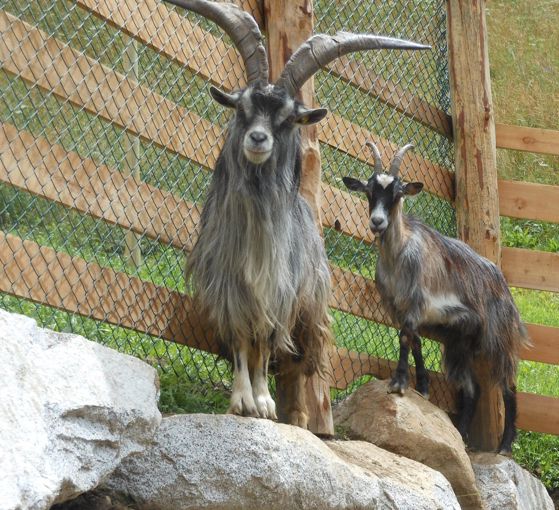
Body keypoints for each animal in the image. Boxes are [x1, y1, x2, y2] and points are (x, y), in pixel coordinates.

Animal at [166, 0, 428, 426]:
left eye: (289, 117)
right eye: (242, 107)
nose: (258, 138)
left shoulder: (280, 294)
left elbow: (264, 346)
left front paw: (264, 402)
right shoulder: (230, 290)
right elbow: (242, 343)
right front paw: (242, 400)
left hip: (311, 315)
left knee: (298, 365)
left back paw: (301, 417)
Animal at [344, 141, 532, 452]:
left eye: (397, 192)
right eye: (369, 190)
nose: (377, 222)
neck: (398, 255)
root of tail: (502, 283)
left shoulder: (416, 304)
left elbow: (405, 338)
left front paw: (398, 383)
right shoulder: (398, 307)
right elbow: (415, 341)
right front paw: (422, 387)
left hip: (498, 336)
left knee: (508, 385)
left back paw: (505, 444)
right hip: (459, 342)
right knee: (472, 388)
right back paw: (462, 436)